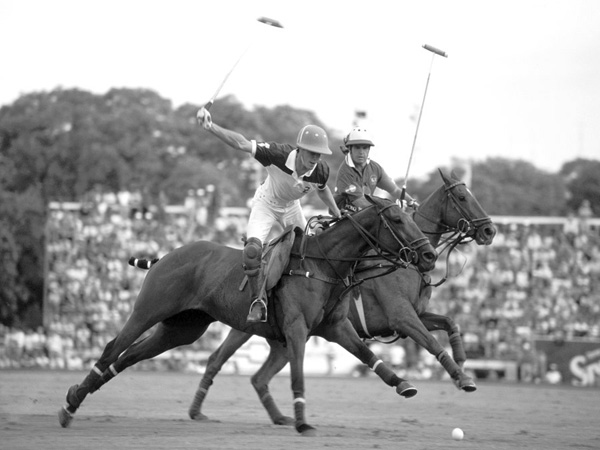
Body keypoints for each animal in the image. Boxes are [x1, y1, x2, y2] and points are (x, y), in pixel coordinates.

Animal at [58, 195, 436, 434]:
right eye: (398, 219)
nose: (430, 255)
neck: (322, 264)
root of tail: (165, 255)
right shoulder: (297, 330)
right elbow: (299, 373)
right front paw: (302, 421)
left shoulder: (337, 327)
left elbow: (370, 356)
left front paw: (404, 384)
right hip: (148, 310)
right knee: (112, 349)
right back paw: (70, 405)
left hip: (182, 329)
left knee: (130, 356)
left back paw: (76, 396)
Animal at [185, 170, 494, 426]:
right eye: (463, 197)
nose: (490, 230)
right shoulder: (401, 317)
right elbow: (431, 342)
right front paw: (463, 378)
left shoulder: (413, 316)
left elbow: (450, 323)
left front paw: (462, 362)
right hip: (246, 328)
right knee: (215, 360)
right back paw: (198, 411)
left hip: (281, 340)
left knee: (258, 377)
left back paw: (279, 417)